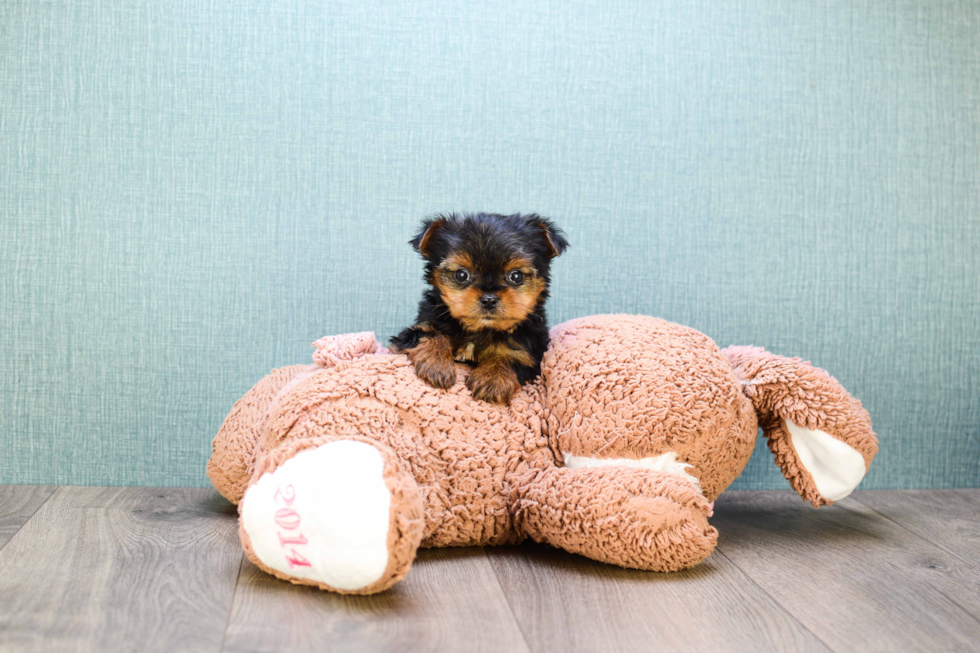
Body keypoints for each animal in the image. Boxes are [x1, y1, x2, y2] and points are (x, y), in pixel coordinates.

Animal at [390, 211, 572, 402]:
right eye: (461, 275)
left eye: (516, 276)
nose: (489, 299)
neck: (481, 329)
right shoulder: (420, 325)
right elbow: (428, 333)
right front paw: (436, 365)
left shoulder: (533, 351)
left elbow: (516, 356)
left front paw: (492, 379)